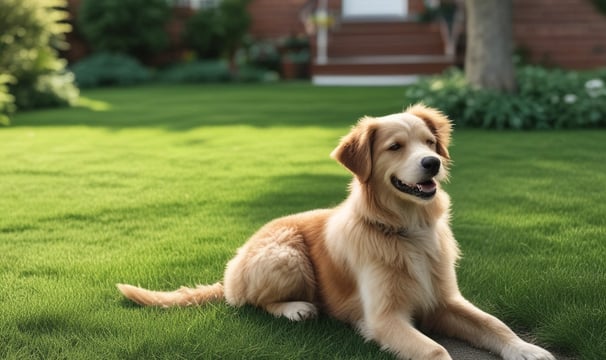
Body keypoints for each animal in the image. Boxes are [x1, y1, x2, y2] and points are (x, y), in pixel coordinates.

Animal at [117, 104, 556, 360]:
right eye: (395, 147)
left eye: (430, 142)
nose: (432, 162)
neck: (406, 230)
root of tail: (236, 262)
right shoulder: (383, 318)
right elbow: (436, 353)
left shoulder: (445, 299)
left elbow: (495, 324)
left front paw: (527, 350)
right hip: (287, 255)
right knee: (246, 301)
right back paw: (295, 308)